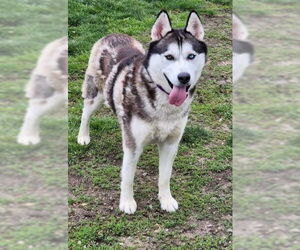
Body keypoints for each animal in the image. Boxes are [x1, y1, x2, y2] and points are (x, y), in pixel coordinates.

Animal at [78, 11, 206, 214]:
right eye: (169, 57)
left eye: (191, 56)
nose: (184, 77)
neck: (163, 105)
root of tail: (113, 34)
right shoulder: (133, 146)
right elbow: (128, 177)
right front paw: (127, 202)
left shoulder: (171, 143)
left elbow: (165, 176)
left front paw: (166, 200)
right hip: (96, 94)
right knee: (86, 113)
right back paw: (83, 136)